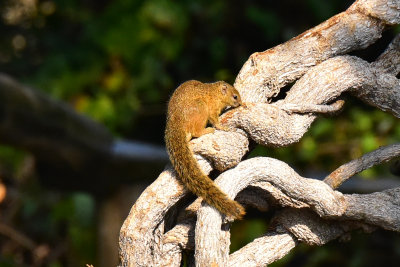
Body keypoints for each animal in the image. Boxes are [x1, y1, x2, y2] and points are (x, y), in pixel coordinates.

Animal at [165, 79, 245, 220]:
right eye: (235, 96)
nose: (240, 103)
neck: (214, 93)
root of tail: (176, 123)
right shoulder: (212, 108)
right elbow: (215, 120)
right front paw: (222, 127)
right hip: (200, 107)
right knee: (196, 132)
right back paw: (206, 130)